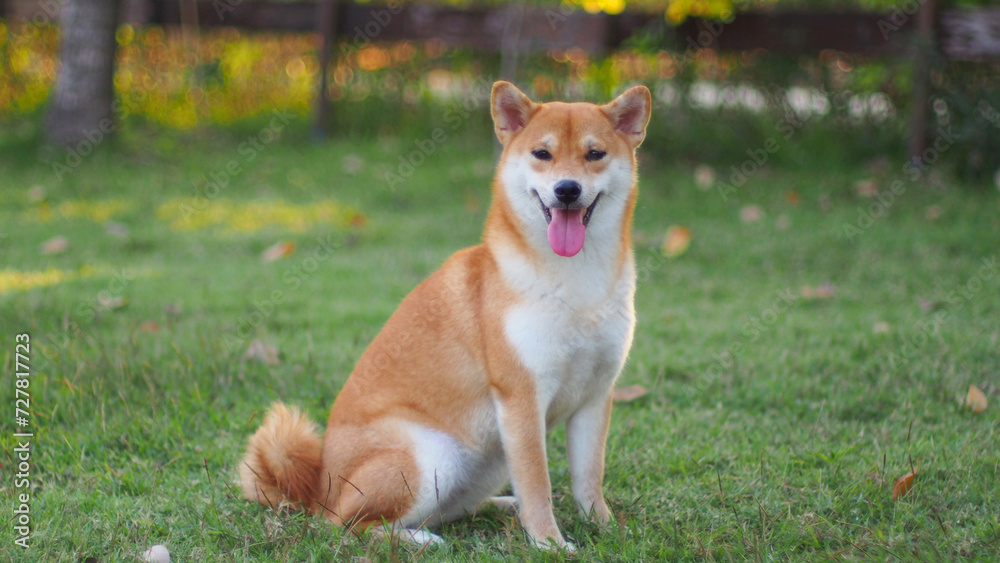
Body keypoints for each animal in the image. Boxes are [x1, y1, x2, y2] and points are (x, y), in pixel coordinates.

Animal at [239, 81, 652, 552]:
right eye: (542, 154)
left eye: (594, 154)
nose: (567, 189)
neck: (577, 283)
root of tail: (317, 488)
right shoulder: (521, 398)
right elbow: (539, 482)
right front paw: (549, 542)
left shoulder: (596, 395)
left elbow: (588, 477)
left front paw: (604, 526)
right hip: (432, 454)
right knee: (347, 523)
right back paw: (420, 539)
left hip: (488, 458)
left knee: (452, 507)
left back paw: (500, 506)